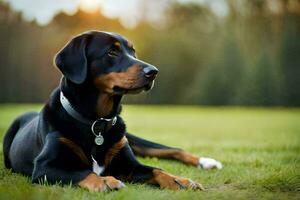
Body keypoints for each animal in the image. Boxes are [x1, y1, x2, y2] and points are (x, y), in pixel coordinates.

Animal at [3, 30, 221, 191]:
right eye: (112, 52)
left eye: (133, 52)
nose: (153, 72)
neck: (96, 122)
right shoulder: (44, 167)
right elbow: (82, 172)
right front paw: (105, 181)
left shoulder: (129, 164)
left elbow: (157, 169)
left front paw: (179, 180)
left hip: (128, 136)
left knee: (173, 149)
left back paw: (207, 162)